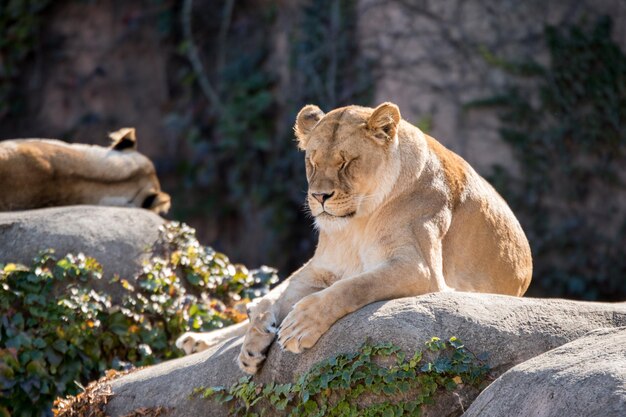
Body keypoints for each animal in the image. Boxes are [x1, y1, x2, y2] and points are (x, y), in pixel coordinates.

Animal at [177, 101, 532, 374]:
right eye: (312, 161)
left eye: (346, 162)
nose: (319, 196)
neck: (356, 224)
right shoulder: (318, 268)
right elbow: (287, 296)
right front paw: (253, 343)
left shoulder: (421, 269)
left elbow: (354, 286)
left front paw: (300, 324)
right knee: (260, 302)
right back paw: (203, 339)